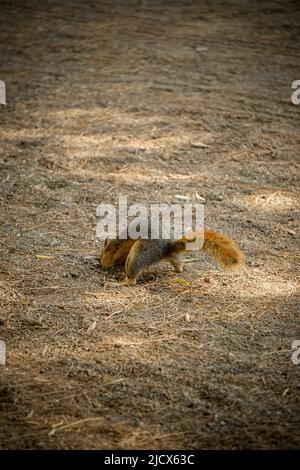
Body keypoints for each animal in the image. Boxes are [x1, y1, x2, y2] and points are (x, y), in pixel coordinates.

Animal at [99, 226, 245, 284]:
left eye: (102, 255)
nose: (100, 263)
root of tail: (167, 248)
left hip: (139, 253)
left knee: (132, 279)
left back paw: (121, 282)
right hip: (175, 257)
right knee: (179, 266)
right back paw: (177, 270)